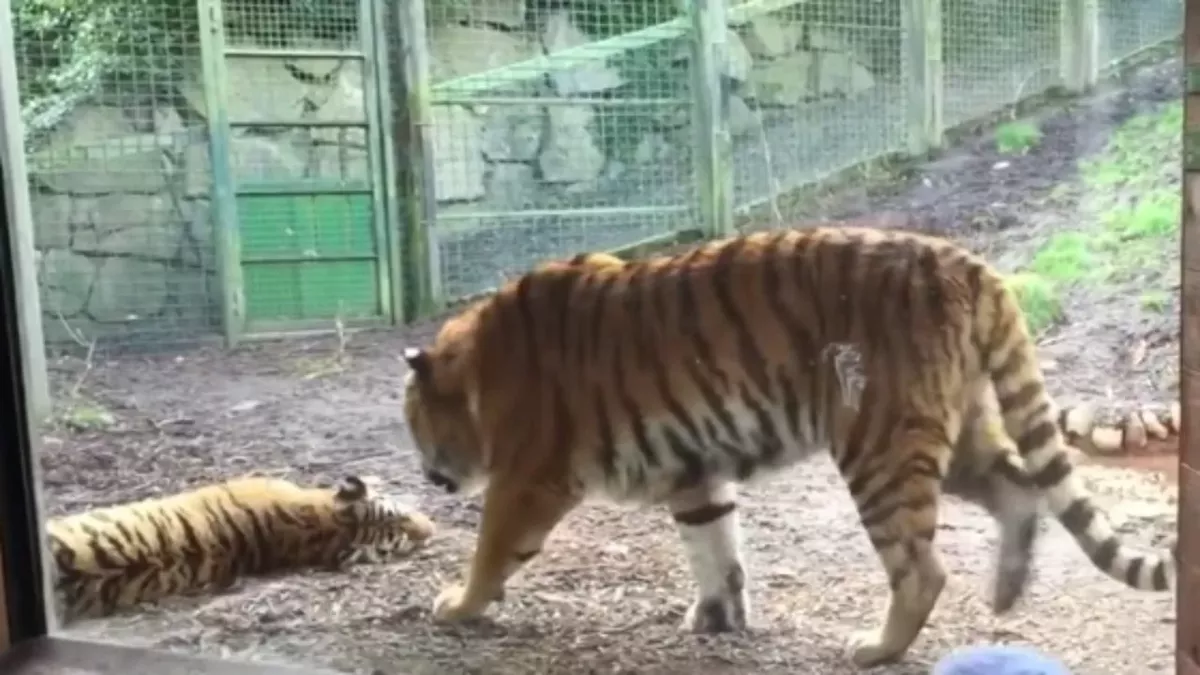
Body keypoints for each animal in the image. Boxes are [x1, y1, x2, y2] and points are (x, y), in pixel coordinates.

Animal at [399, 225, 1176, 668]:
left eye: (415, 426)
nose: (427, 473)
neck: (478, 366)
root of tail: (965, 261)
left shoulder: (529, 477)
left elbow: (492, 547)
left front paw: (457, 605)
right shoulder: (693, 468)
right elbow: (714, 544)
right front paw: (716, 618)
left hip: (879, 444)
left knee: (921, 567)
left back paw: (876, 648)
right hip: (958, 435)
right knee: (1019, 489)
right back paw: (1007, 590)